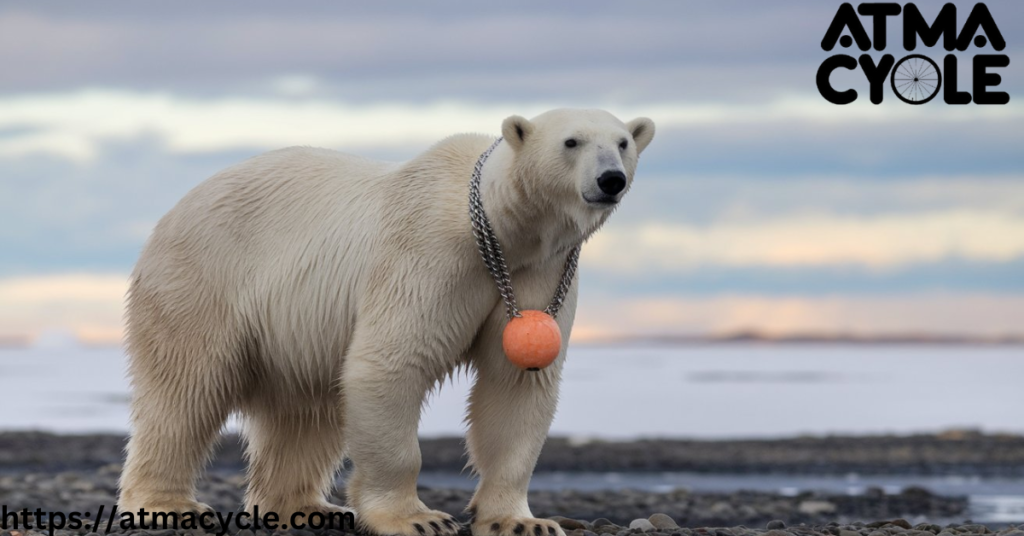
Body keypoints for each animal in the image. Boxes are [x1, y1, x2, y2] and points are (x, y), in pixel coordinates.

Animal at [116, 109, 651, 536]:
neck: (504, 229)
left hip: (296, 334)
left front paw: (520, 521)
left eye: (623, 142)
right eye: (572, 141)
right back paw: (170, 505)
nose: (610, 179)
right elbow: (391, 364)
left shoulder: (542, 273)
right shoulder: (431, 254)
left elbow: (516, 382)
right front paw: (417, 518)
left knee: (305, 411)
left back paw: (307, 507)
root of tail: (172, 213)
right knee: (185, 390)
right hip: (202, 280)